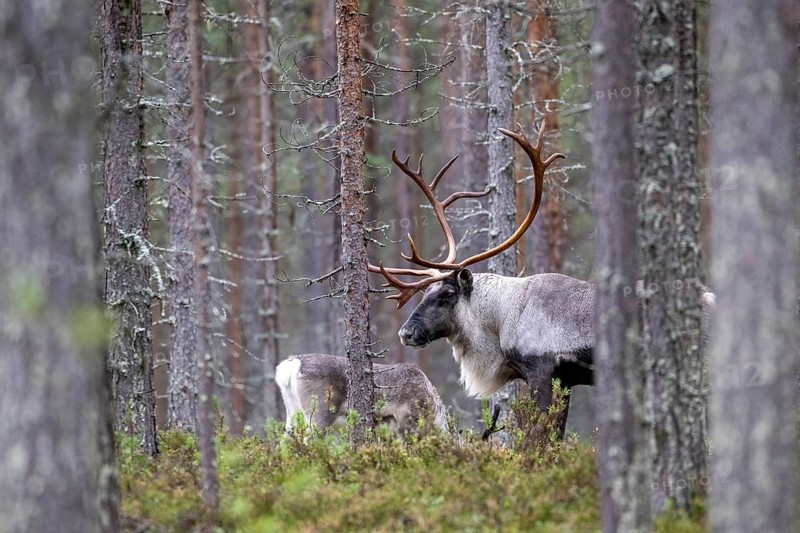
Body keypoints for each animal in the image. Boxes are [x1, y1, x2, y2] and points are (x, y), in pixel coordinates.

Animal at [368, 120, 715, 437]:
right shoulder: (566, 380)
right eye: (425, 293)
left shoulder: (542, 371)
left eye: (447, 295)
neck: (502, 320)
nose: (406, 333)